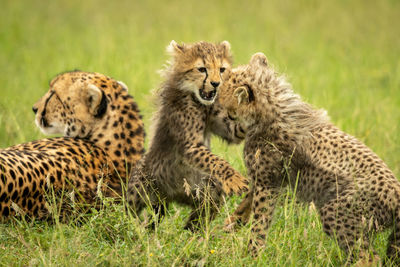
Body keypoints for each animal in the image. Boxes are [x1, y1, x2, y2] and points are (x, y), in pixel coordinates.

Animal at [220, 53, 398, 264]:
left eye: (225, 107)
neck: (271, 110)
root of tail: (396, 193)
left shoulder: (267, 185)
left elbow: (259, 223)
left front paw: (251, 256)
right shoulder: (264, 180)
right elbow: (245, 206)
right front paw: (225, 227)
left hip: (337, 212)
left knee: (370, 258)